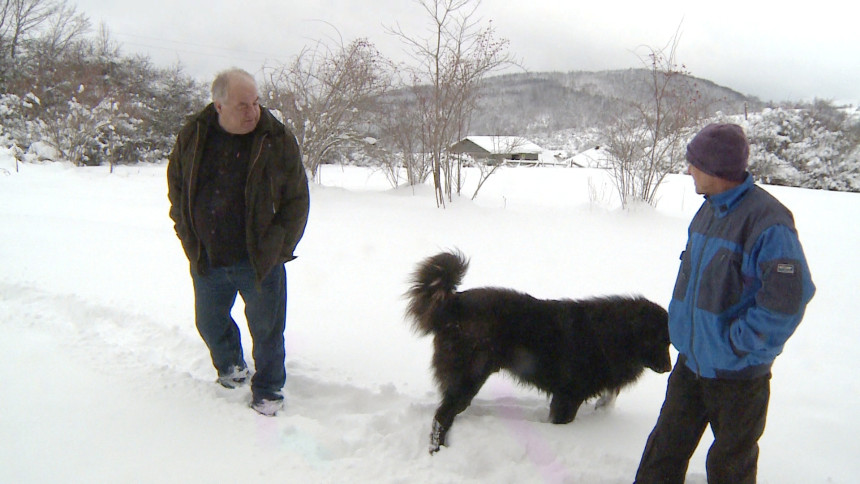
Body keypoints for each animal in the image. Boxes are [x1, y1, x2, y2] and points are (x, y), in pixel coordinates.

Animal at [406, 251, 676, 452]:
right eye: (659, 340)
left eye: (669, 343)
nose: (669, 368)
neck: (612, 335)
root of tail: (454, 303)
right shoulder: (568, 396)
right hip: (467, 378)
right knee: (442, 417)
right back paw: (438, 449)